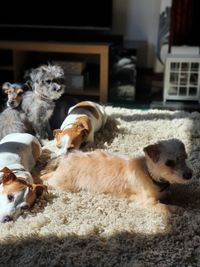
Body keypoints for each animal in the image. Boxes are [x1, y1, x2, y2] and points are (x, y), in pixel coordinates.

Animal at [40, 139, 192, 210]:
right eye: (169, 163)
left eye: (185, 157)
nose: (189, 175)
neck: (150, 174)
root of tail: (65, 157)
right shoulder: (148, 201)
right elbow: (166, 207)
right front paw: (180, 209)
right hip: (63, 183)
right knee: (44, 178)